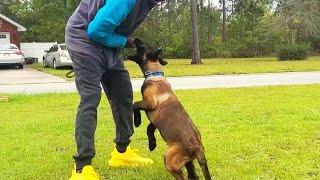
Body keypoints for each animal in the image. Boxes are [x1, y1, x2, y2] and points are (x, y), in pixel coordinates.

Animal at [127, 39, 212, 180]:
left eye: (142, 46)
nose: (136, 39)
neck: (154, 73)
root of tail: (198, 147)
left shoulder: (150, 103)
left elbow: (135, 104)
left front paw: (137, 121)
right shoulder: (155, 120)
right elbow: (149, 128)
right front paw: (152, 144)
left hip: (169, 159)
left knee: (182, 177)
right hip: (188, 161)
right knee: (193, 175)